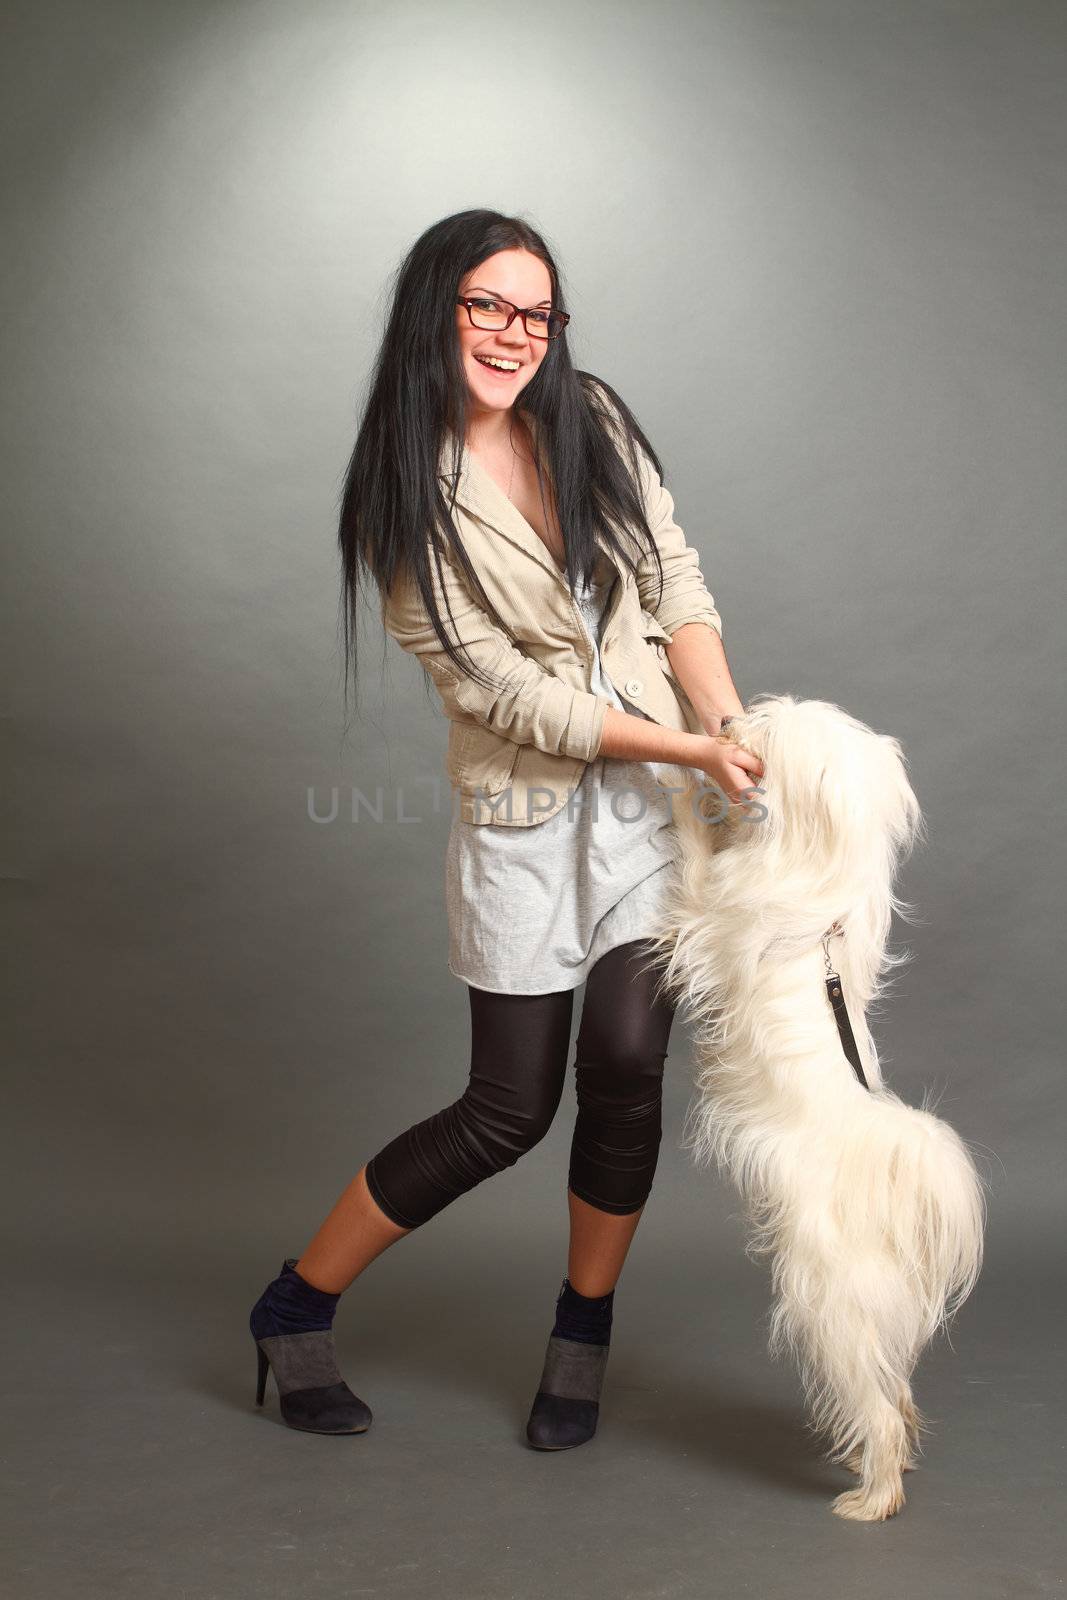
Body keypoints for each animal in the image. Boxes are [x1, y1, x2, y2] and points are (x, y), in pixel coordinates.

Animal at [643, 700, 985, 1523]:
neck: (823, 880)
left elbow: (695, 852)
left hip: (830, 1308)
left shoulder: (710, 912)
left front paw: (679, 777)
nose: (723, 721)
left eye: (763, 731)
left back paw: (874, 1495)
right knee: (896, 1392)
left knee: (875, 1402)